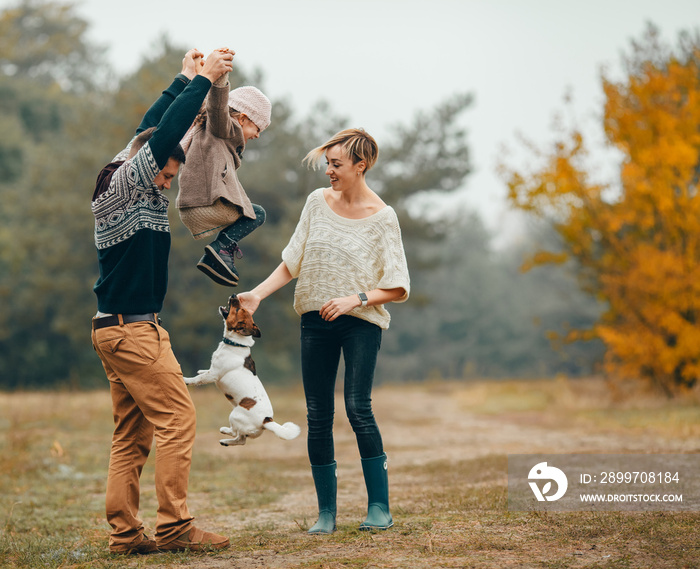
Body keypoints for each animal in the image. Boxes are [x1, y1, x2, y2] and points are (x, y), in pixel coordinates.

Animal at [185, 296, 300, 446]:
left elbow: (197, 379)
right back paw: (225, 441)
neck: (236, 343)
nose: (234, 295)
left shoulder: (214, 374)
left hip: (234, 415)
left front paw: (186, 380)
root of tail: (266, 420)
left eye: (238, 309)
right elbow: (204, 372)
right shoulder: (212, 370)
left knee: (236, 433)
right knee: (241, 440)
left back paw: (225, 430)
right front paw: (200, 370)